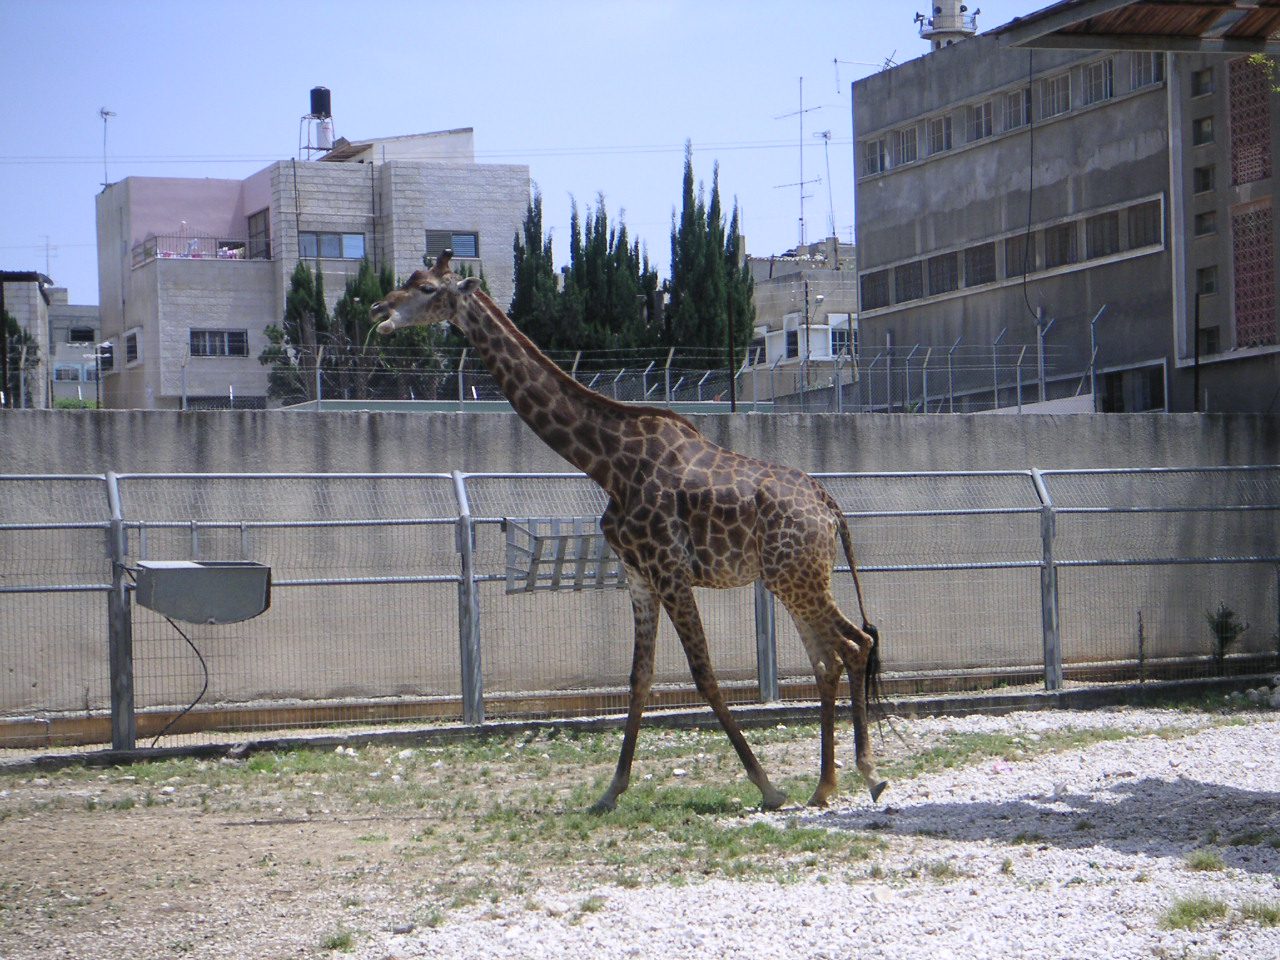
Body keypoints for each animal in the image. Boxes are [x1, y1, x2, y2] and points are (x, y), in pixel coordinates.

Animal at [372, 251, 887, 811]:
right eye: (406, 281)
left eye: (425, 288)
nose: (378, 311)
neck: (608, 464)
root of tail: (830, 507)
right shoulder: (640, 577)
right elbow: (638, 678)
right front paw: (611, 790)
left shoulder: (670, 571)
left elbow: (704, 675)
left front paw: (767, 786)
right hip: (790, 578)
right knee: (827, 659)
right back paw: (824, 786)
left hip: (798, 576)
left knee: (855, 645)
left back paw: (867, 774)